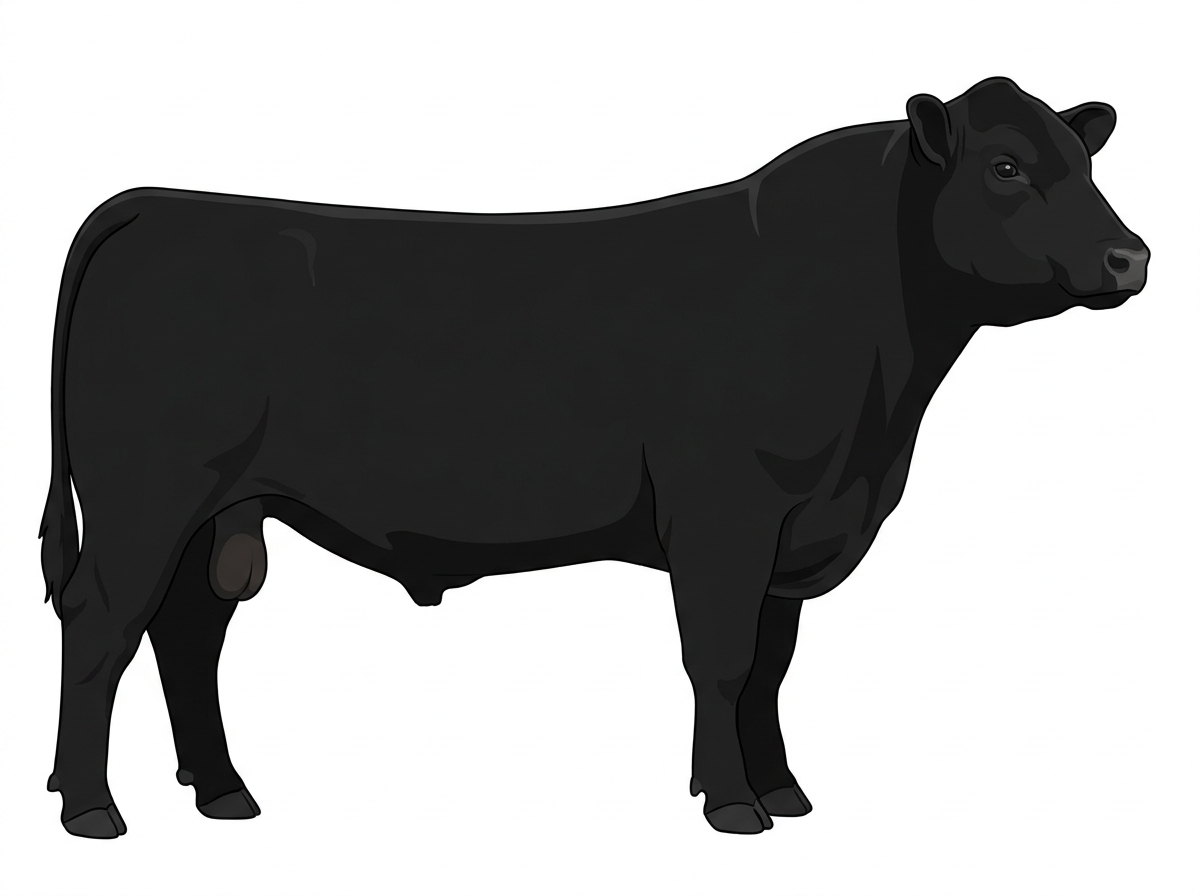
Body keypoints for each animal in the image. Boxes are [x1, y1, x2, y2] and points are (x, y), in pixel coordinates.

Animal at [40, 77, 1148, 837]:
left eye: (1086, 162)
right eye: (1004, 167)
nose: (1130, 255)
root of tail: (151, 202)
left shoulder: (792, 529)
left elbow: (772, 665)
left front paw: (783, 787)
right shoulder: (726, 513)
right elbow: (723, 658)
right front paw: (732, 803)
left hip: (216, 512)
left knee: (185, 633)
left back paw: (224, 792)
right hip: (145, 497)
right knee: (101, 623)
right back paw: (91, 808)